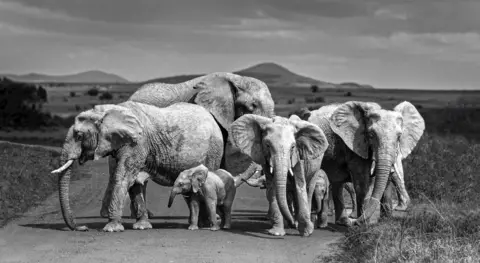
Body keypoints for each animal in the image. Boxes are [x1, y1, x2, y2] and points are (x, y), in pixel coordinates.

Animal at [51, 102, 225, 232]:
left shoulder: (137, 143)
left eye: (79, 136)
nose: (83, 227)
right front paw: (142, 226)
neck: (106, 112)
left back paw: (204, 225)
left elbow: (123, 177)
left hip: (214, 150)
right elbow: (134, 183)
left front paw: (112, 228)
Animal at [294, 101, 426, 227]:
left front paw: (385, 221)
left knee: (336, 181)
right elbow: (362, 181)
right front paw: (366, 224)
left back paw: (344, 222)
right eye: (371, 135)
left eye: (399, 137)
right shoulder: (354, 143)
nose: (356, 222)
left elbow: (386, 179)